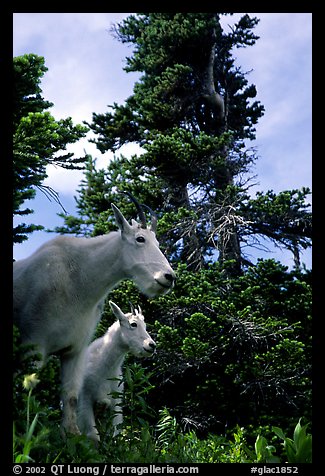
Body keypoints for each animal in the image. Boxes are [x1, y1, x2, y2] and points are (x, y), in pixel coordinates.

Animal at [13, 192, 175, 436]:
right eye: (140, 239)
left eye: (157, 242)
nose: (169, 277)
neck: (81, 281)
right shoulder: (33, 345)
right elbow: (29, 395)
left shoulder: (75, 350)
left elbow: (71, 401)